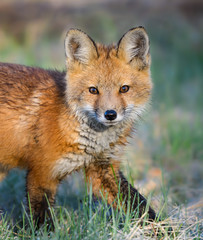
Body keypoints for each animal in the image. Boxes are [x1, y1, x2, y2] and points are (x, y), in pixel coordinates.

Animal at [0, 27, 155, 226]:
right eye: (93, 90)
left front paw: (166, 229)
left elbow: (140, 206)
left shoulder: (103, 169)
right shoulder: (42, 173)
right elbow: (42, 221)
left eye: (124, 89)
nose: (110, 114)